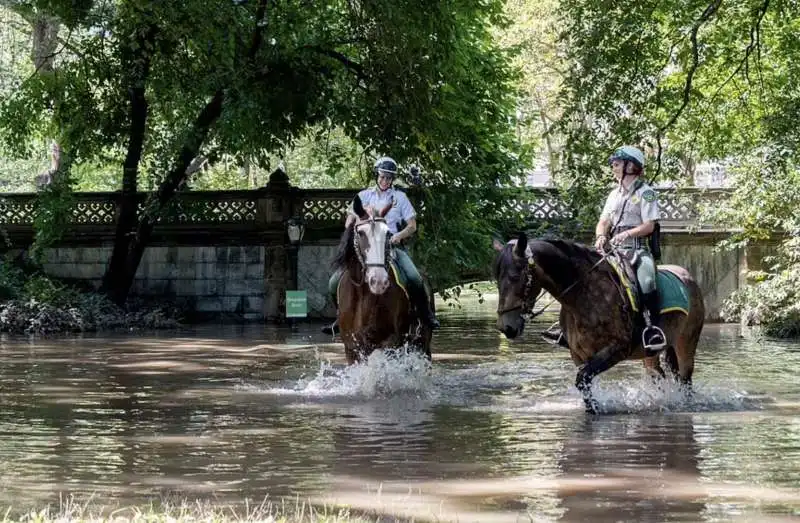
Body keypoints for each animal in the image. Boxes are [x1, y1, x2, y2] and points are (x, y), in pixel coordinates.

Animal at [330, 194, 434, 366]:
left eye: (388, 234)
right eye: (361, 233)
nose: (378, 281)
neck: (364, 296)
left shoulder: (391, 343)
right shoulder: (352, 348)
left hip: (422, 341)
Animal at [490, 233, 704, 414]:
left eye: (515, 277)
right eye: (497, 279)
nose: (505, 327)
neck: (584, 295)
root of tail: (688, 277)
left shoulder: (617, 349)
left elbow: (582, 379)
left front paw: (596, 409)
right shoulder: (578, 355)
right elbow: (584, 382)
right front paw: (591, 408)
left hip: (685, 344)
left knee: (685, 379)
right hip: (650, 353)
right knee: (658, 376)